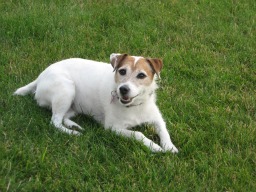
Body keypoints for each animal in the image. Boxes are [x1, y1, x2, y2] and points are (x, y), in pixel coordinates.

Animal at [14, 53, 178, 152]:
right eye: (122, 71)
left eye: (141, 75)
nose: (123, 89)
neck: (134, 106)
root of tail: (40, 77)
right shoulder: (113, 128)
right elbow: (138, 134)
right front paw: (155, 147)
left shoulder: (157, 119)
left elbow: (164, 130)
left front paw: (169, 147)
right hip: (66, 89)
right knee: (55, 121)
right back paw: (72, 132)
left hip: (74, 104)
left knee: (64, 117)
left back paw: (74, 125)